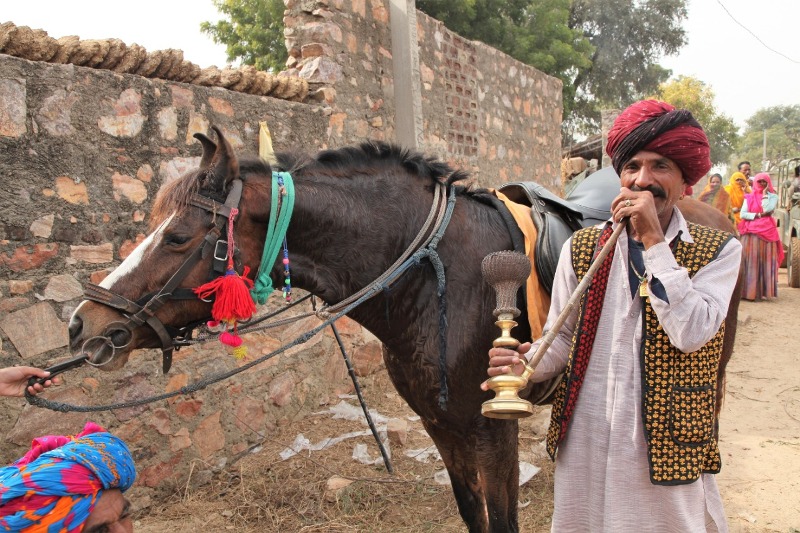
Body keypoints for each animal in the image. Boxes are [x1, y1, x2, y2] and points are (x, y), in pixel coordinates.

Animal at [69, 130, 744, 532]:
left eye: (179, 236)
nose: (85, 325)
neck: (432, 276)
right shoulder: (441, 425)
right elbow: (472, 512)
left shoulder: (491, 429)